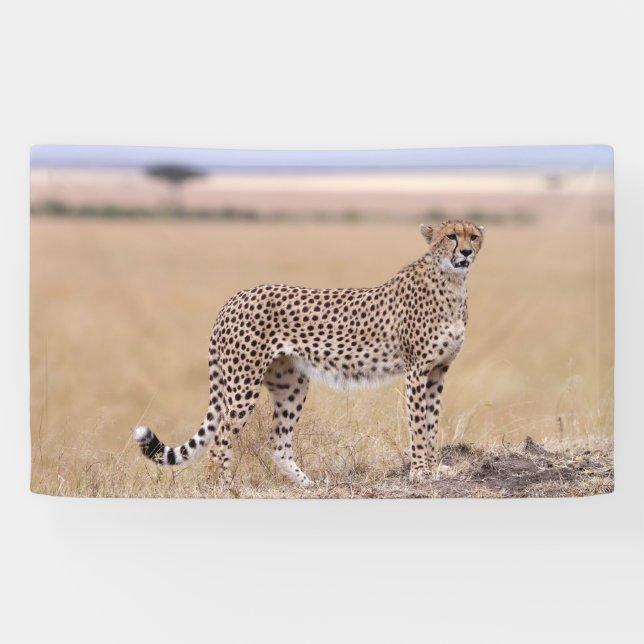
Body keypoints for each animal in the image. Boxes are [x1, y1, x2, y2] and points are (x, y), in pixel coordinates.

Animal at [134, 220, 484, 486]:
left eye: (474, 236)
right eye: (451, 236)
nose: (466, 252)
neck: (452, 283)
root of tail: (235, 297)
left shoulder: (438, 371)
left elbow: (432, 422)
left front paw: (435, 467)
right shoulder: (416, 371)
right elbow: (419, 424)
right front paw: (421, 472)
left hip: (291, 384)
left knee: (277, 443)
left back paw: (307, 484)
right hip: (242, 385)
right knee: (219, 441)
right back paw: (220, 487)